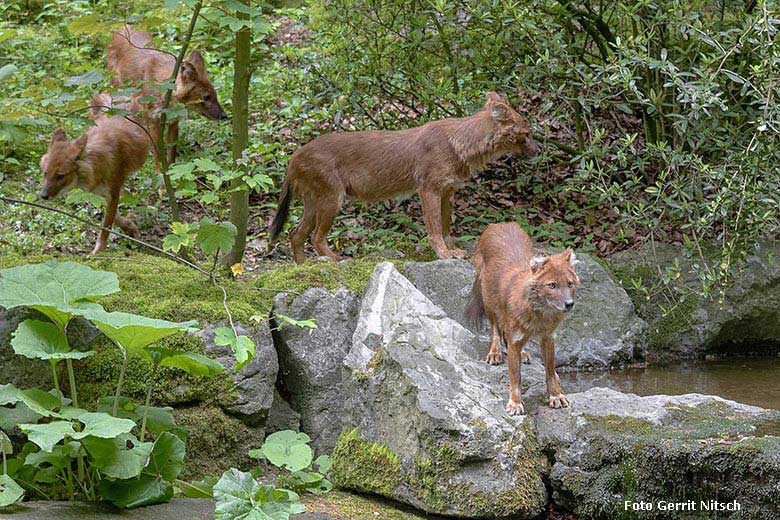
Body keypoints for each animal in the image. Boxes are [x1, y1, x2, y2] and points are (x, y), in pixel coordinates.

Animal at [466, 222, 576, 414]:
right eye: (552, 285)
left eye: (569, 284)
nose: (569, 304)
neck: (540, 315)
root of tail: (499, 224)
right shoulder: (515, 338)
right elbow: (515, 377)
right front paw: (515, 403)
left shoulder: (548, 337)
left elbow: (550, 371)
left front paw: (556, 396)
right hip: (488, 299)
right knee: (495, 328)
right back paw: (495, 352)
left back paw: (523, 353)